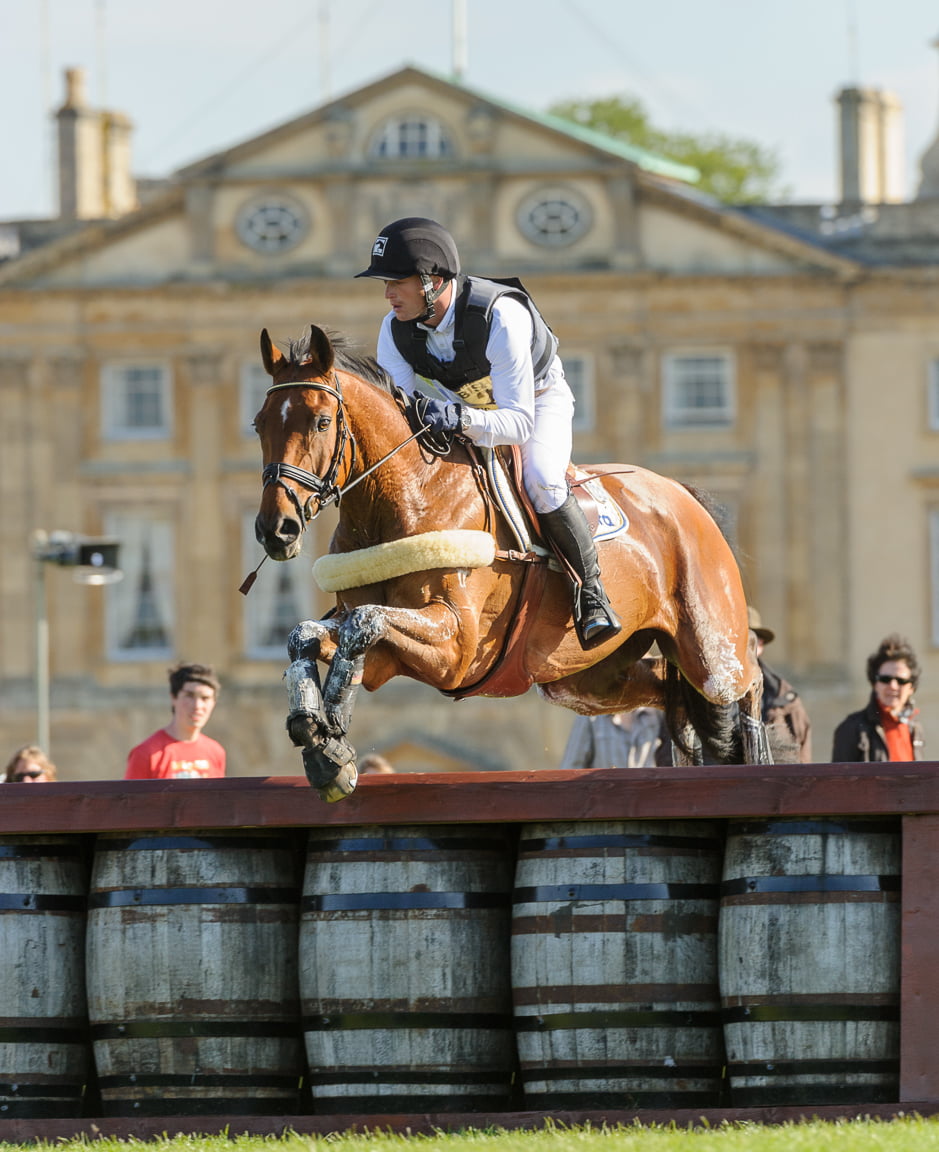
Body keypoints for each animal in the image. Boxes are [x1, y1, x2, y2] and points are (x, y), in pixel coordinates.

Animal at [252, 324, 771, 801]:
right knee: (670, 692)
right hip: (588, 680)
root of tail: (683, 495)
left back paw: (761, 760)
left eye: (321, 422)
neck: (403, 496)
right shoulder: (387, 658)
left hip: (708, 648)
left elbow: (364, 622)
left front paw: (332, 729)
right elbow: (306, 636)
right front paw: (318, 737)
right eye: (259, 424)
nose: (276, 529)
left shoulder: (455, 646)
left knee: (746, 678)